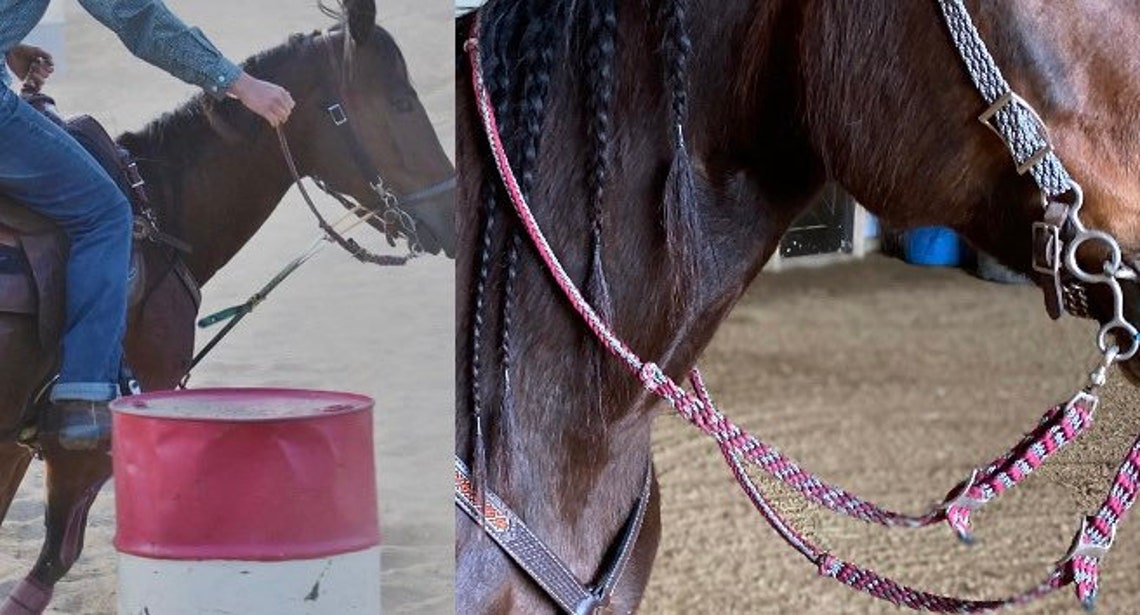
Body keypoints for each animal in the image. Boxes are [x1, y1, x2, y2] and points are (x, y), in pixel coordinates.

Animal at [0, 1, 455, 611]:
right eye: (402, 101)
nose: (452, 211)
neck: (159, 211)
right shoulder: (86, 447)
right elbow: (52, 560)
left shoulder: (14, 444)